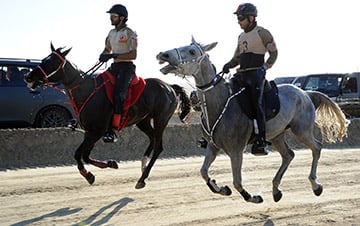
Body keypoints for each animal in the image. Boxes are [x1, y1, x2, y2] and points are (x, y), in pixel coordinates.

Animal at [24, 43, 191, 188]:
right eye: (44, 59)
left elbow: (79, 154)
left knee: (158, 147)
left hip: (160, 119)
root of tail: (170, 87)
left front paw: (88, 175)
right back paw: (143, 165)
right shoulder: (90, 132)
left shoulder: (97, 131)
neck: (86, 90)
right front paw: (110, 163)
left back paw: (142, 178)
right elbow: (85, 155)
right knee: (152, 139)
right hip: (143, 121)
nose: (28, 77)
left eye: (51, 62)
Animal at [158, 37, 348, 203]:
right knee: (288, 155)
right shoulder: (213, 146)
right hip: (276, 136)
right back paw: (276, 190)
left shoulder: (236, 151)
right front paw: (220, 188)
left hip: (301, 131)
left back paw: (315, 185)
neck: (221, 103)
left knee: (317, 148)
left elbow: (237, 182)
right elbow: (203, 172)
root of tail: (306, 93)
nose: (163, 55)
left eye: (191, 51)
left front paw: (252, 197)